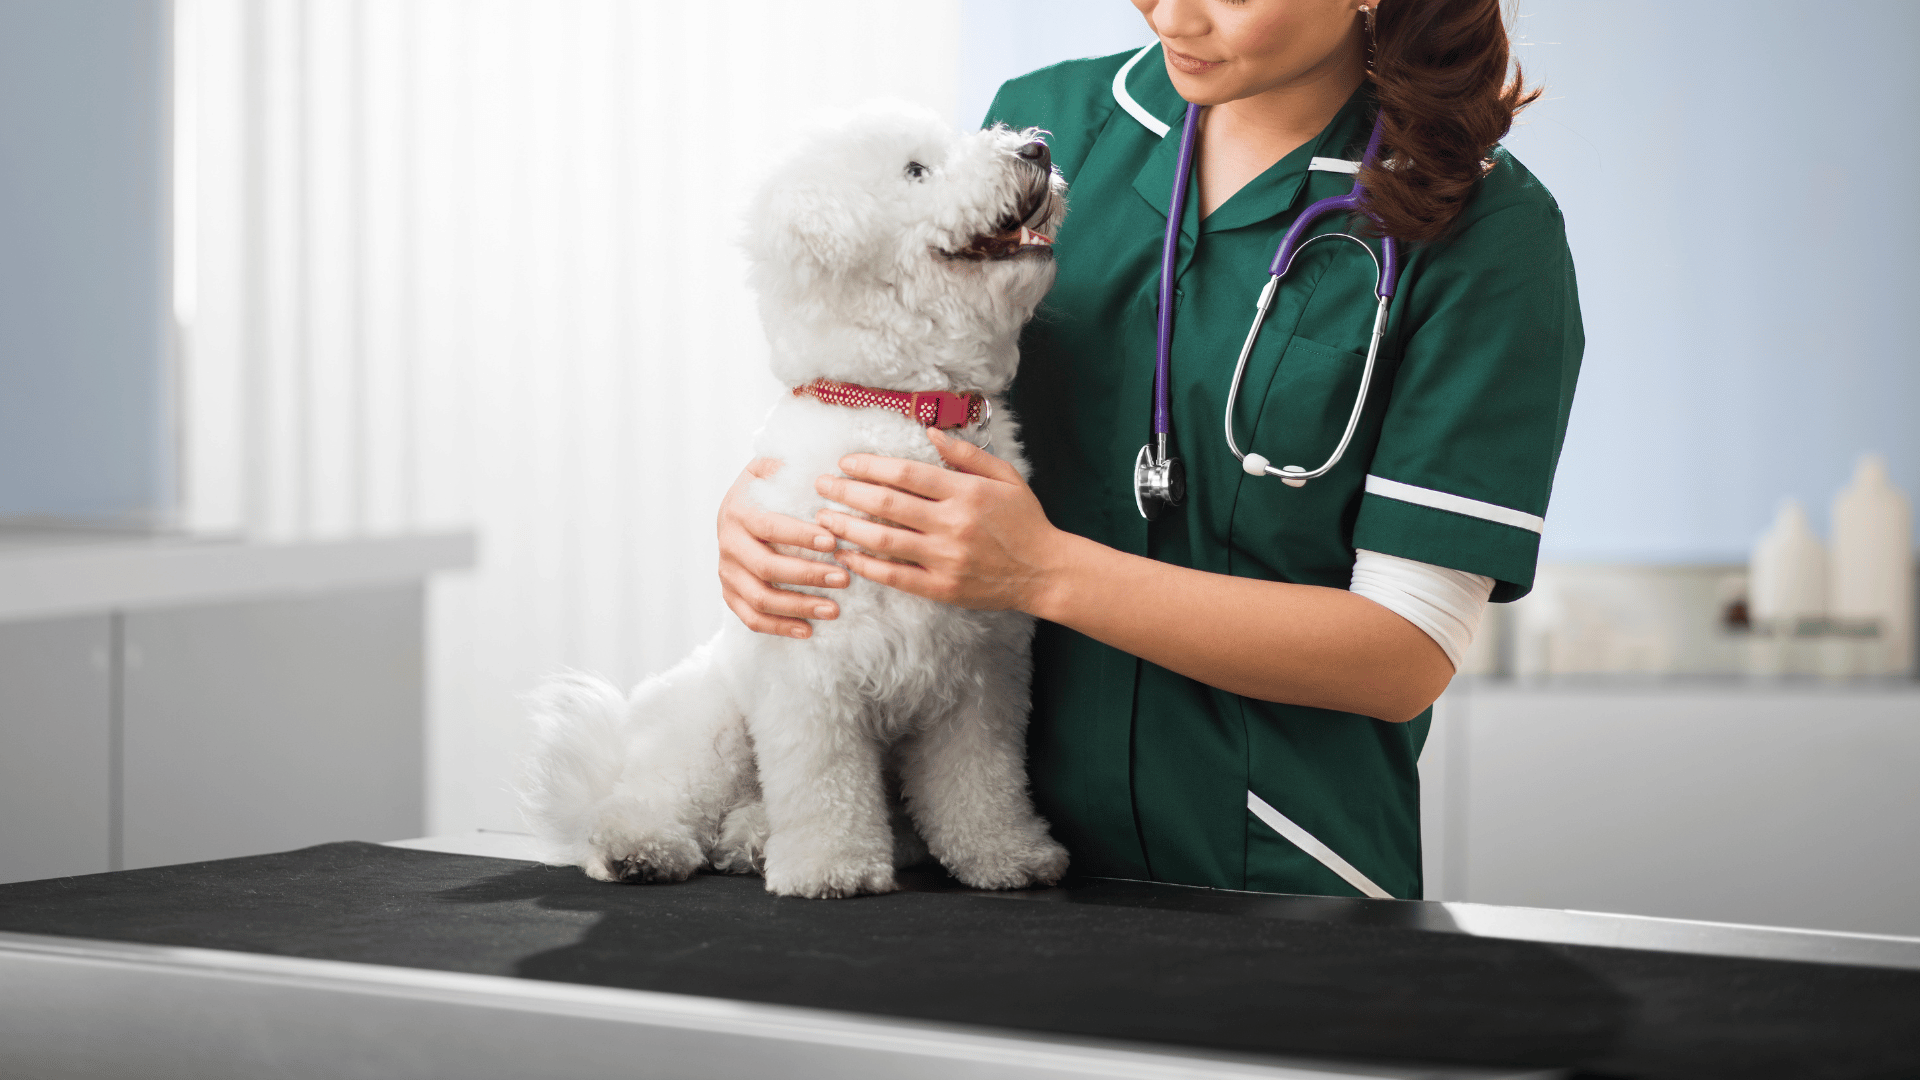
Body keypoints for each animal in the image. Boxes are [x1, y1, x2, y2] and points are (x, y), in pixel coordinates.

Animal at [518, 100, 1075, 895]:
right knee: (648, 799)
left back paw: (753, 841)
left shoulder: (982, 676)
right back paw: (641, 846)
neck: (899, 405)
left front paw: (1006, 855)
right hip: (713, 725)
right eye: (916, 170)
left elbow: (983, 780)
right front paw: (829, 866)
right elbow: (823, 782)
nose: (1035, 150)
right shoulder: (811, 670)